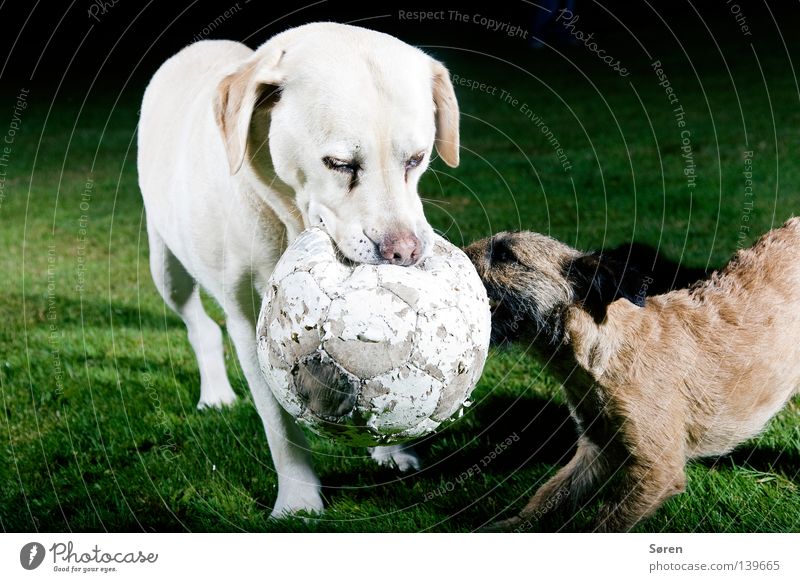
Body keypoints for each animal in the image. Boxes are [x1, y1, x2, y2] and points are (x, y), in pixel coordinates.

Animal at [138, 22, 460, 516]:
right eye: (340, 164)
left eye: (416, 159)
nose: (404, 252)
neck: (288, 219)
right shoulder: (248, 322)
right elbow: (278, 425)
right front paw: (298, 501)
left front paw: (392, 451)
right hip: (165, 264)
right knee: (199, 324)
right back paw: (216, 394)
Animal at [466, 219, 800, 532]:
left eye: (505, 255)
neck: (609, 347)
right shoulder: (598, 450)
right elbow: (547, 494)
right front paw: (505, 525)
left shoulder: (658, 470)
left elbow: (604, 523)